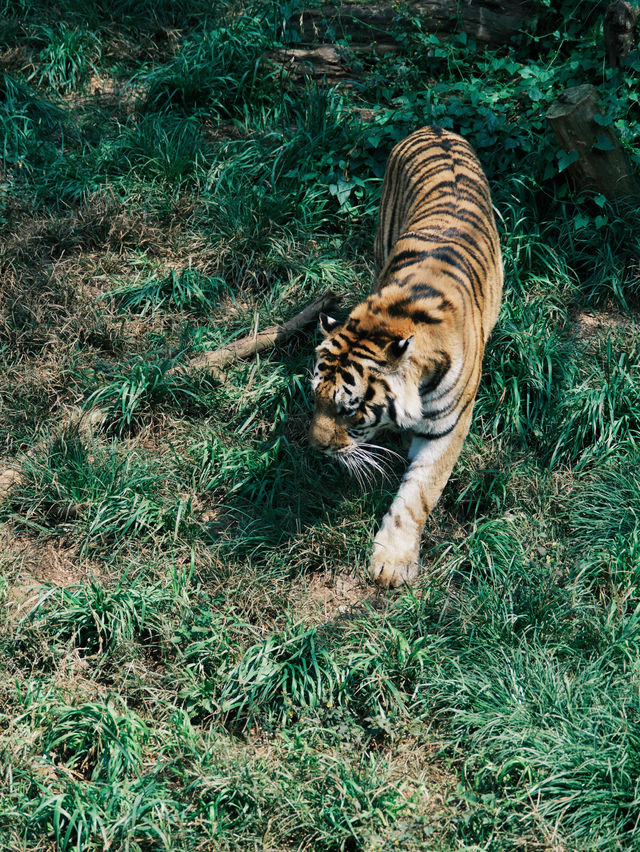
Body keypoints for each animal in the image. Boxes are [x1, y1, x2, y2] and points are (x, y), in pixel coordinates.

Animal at [308, 125, 502, 584]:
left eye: (348, 409)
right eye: (315, 398)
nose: (315, 449)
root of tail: (435, 127)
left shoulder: (447, 429)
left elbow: (418, 493)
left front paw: (392, 563)